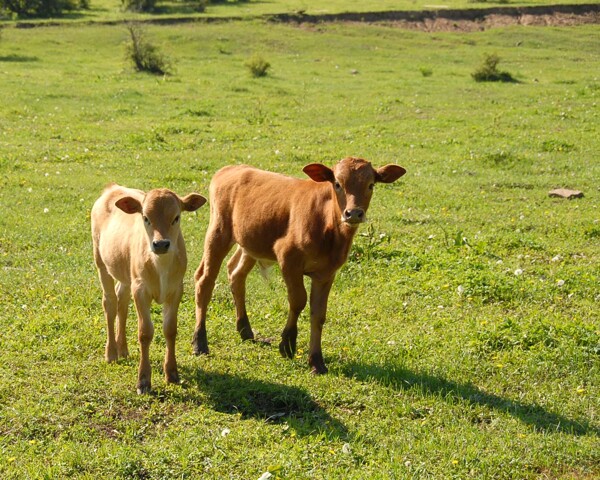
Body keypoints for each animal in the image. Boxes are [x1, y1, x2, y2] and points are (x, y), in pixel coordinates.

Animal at [91, 184, 206, 394]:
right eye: (146, 217)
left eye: (176, 217)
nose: (161, 244)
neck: (160, 264)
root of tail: (113, 187)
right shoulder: (141, 289)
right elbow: (145, 333)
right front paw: (143, 381)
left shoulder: (176, 290)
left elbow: (170, 330)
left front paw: (172, 373)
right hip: (101, 262)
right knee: (110, 303)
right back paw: (111, 353)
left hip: (126, 274)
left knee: (122, 301)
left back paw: (123, 349)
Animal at [192, 158, 408, 376]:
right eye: (337, 183)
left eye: (371, 185)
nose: (353, 213)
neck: (328, 227)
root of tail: (231, 168)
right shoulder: (288, 258)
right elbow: (298, 301)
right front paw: (288, 343)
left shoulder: (327, 273)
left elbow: (318, 314)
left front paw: (316, 360)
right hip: (218, 232)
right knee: (204, 281)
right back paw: (200, 342)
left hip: (251, 243)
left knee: (236, 274)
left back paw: (245, 330)